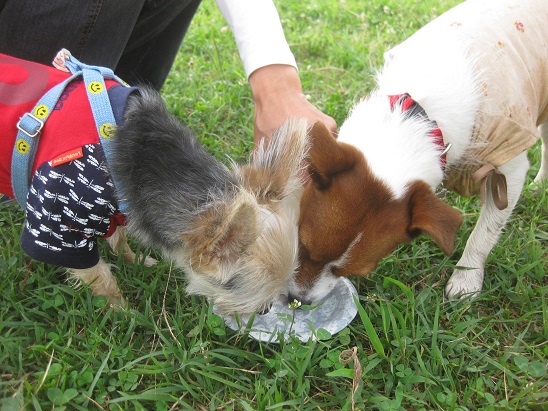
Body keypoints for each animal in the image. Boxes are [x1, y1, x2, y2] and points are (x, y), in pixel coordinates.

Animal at [0, 53, 308, 314]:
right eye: (261, 306)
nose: (274, 307)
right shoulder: (57, 227)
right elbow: (99, 276)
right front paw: (121, 311)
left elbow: (118, 236)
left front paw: (133, 260)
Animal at [288, 0, 544, 304]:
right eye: (302, 246)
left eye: (351, 272)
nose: (298, 300)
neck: (420, 112)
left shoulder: (509, 165)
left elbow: (484, 233)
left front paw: (467, 277)